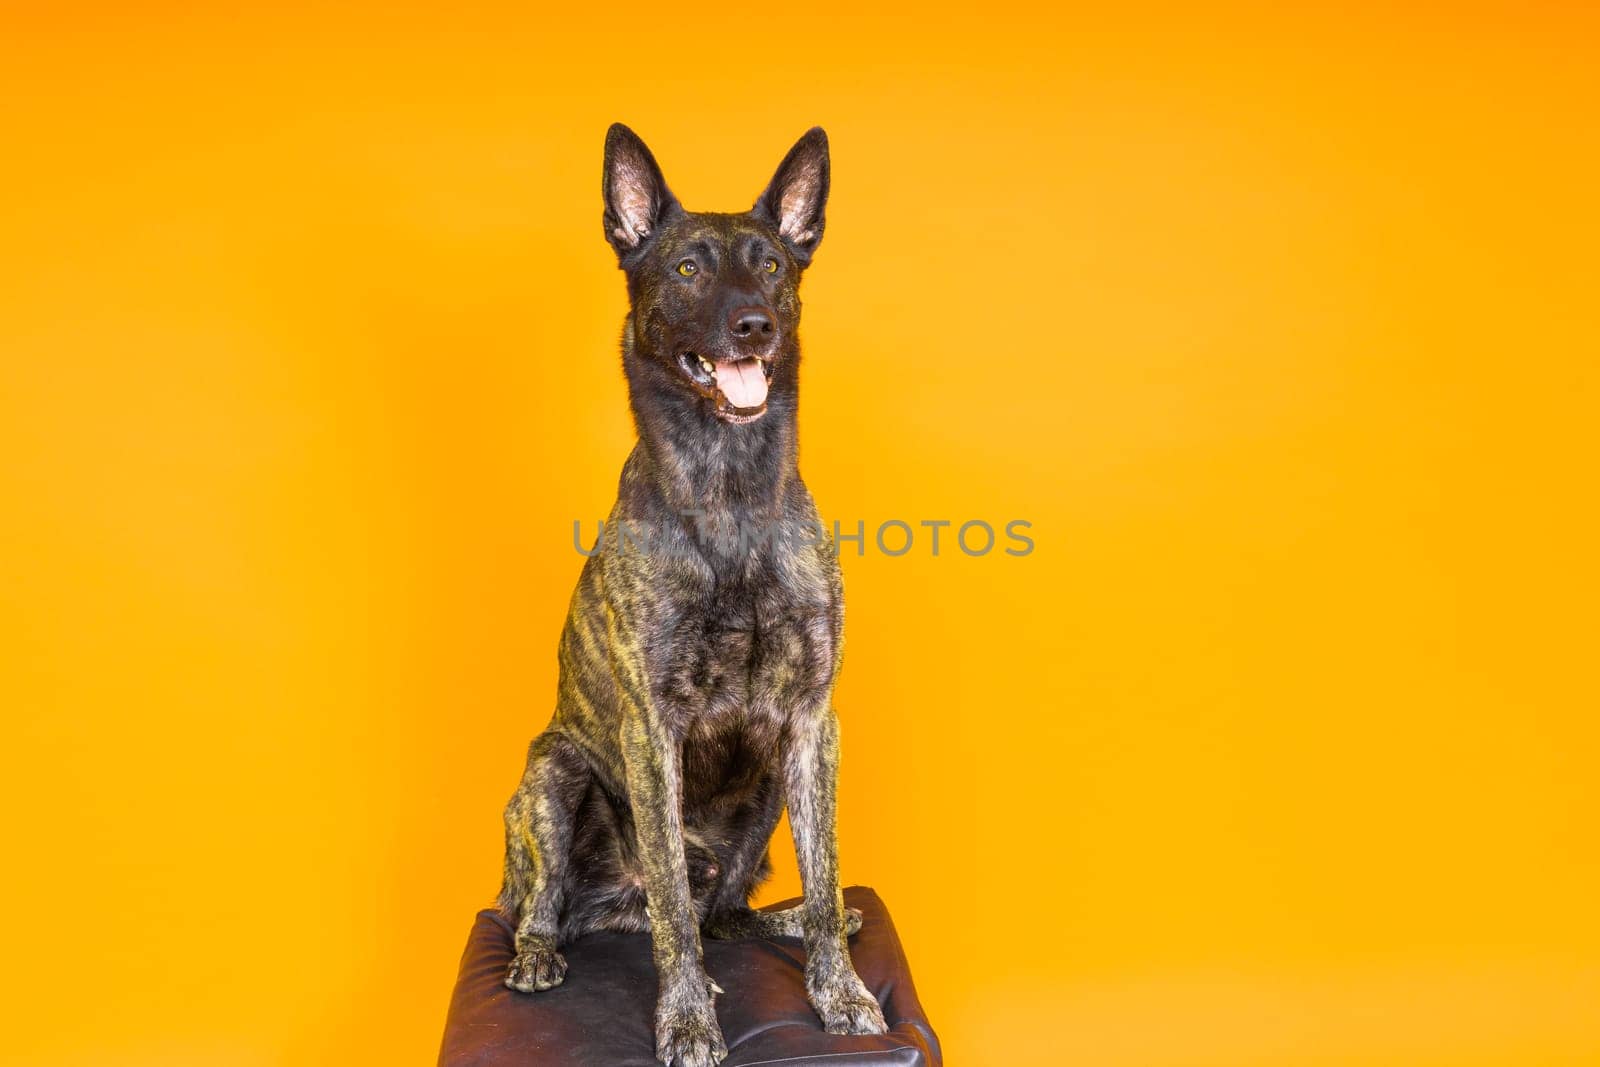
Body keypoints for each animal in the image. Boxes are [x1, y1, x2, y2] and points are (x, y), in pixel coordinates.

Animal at [496, 127, 889, 1067]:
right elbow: (674, 902)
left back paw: (786, 920)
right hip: (553, 770)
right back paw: (538, 953)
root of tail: (612, 907)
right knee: (569, 903)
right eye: (685, 269)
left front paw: (841, 989)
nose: (756, 325)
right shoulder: (651, 732)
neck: (731, 492)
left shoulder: (812, 723)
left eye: (773, 265)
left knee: (727, 912)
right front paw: (685, 1018)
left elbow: (825, 873)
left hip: (767, 788)